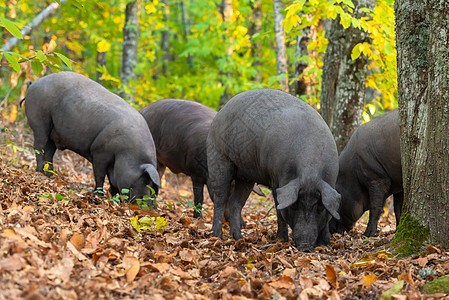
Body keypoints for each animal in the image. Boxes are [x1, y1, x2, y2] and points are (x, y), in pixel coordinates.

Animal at [22, 71, 160, 206]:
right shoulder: (100, 152)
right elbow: (100, 176)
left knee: (49, 151)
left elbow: (112, 181)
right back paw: (40, 172)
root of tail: (33, 83)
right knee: (39, 146)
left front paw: (114, 199)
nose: (150, 207)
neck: (127, 152)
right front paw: (99, 196)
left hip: (52, 132)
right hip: (39, 120)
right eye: (145, 181)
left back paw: (50, 175)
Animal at [206, 89, 340, 251]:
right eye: (295, 205)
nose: (305, 247)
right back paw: (217, 236)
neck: (310, 170)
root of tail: (220, 112)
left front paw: (326, 245)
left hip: (246, 176)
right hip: (218, 158)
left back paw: (238, 238)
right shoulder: (277, 181)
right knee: (220, 198)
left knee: (235, 202)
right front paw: (281, 240)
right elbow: (279, 211)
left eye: (320, 207)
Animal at [326, 109, 402, 237]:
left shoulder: (377, 178)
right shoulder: (399, 186)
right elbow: (398, 208)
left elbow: (375, 207)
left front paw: (367, 235)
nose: (330, 231)